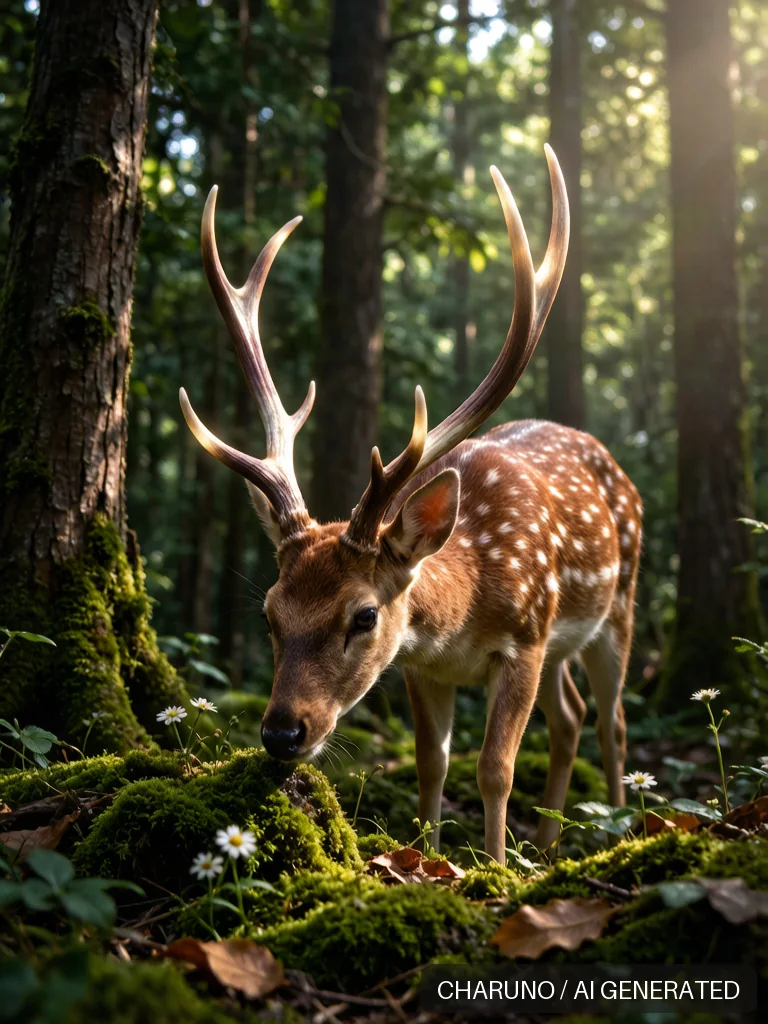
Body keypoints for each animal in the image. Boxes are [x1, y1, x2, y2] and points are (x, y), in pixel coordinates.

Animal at [180, 145, 642, 863]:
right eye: (269, 612)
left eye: (364, 615)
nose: (283, 733)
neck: (464, 610)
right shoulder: (423, 668)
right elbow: (432, 762)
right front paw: (424, 859)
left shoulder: (525, 639)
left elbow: (495, 767)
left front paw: (495, 868)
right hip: (567, 642)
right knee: (570, 717)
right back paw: (548, 843)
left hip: (616, 607)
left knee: (613, 719)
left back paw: (612, 830)